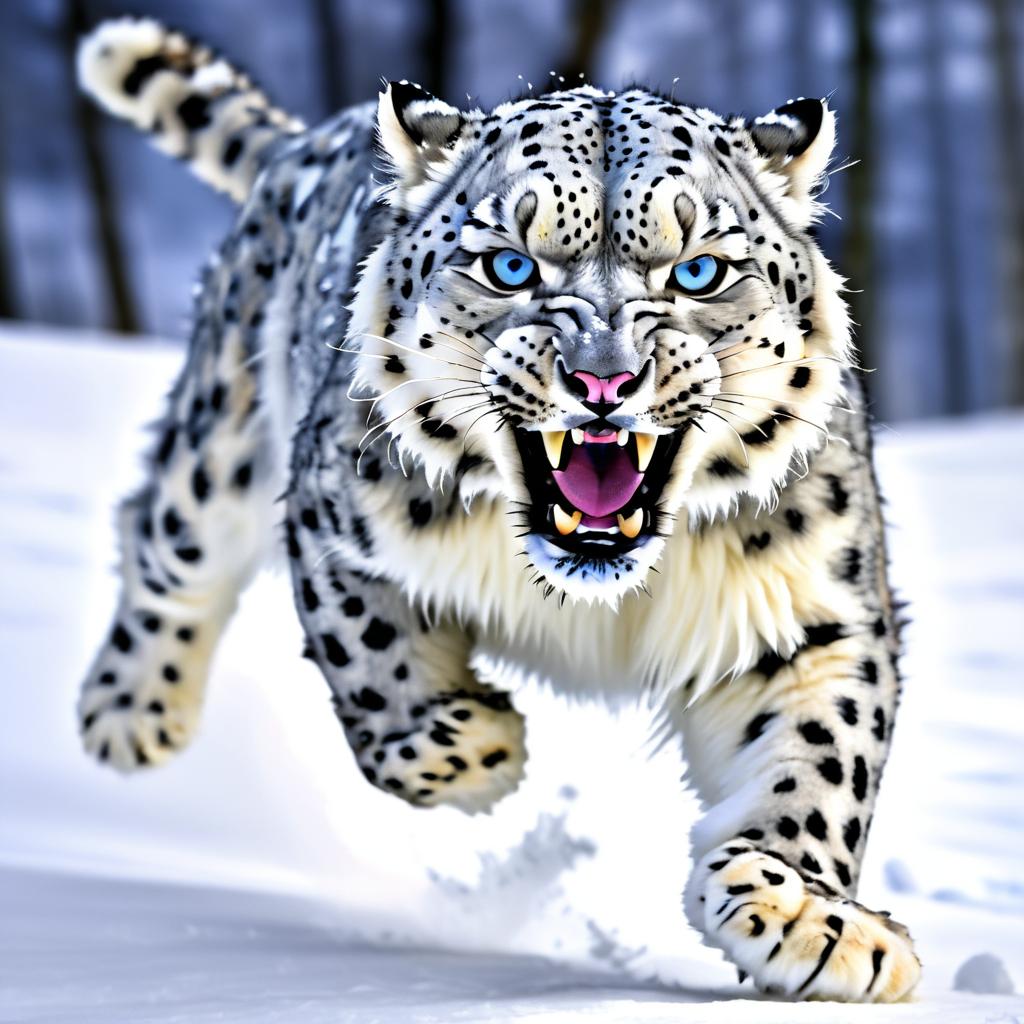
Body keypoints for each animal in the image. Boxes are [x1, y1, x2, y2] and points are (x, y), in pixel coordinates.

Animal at [72, 19, 921, 1003]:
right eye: (510, 265)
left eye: (701, 270)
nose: (604, 381)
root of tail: (307, 141)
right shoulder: (333, 523)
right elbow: (371, 656)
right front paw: (472, 747)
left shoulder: (811, 609)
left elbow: (821, 755)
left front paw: (809, 916)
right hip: (224, 434)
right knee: (169, 532)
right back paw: (132, 711)